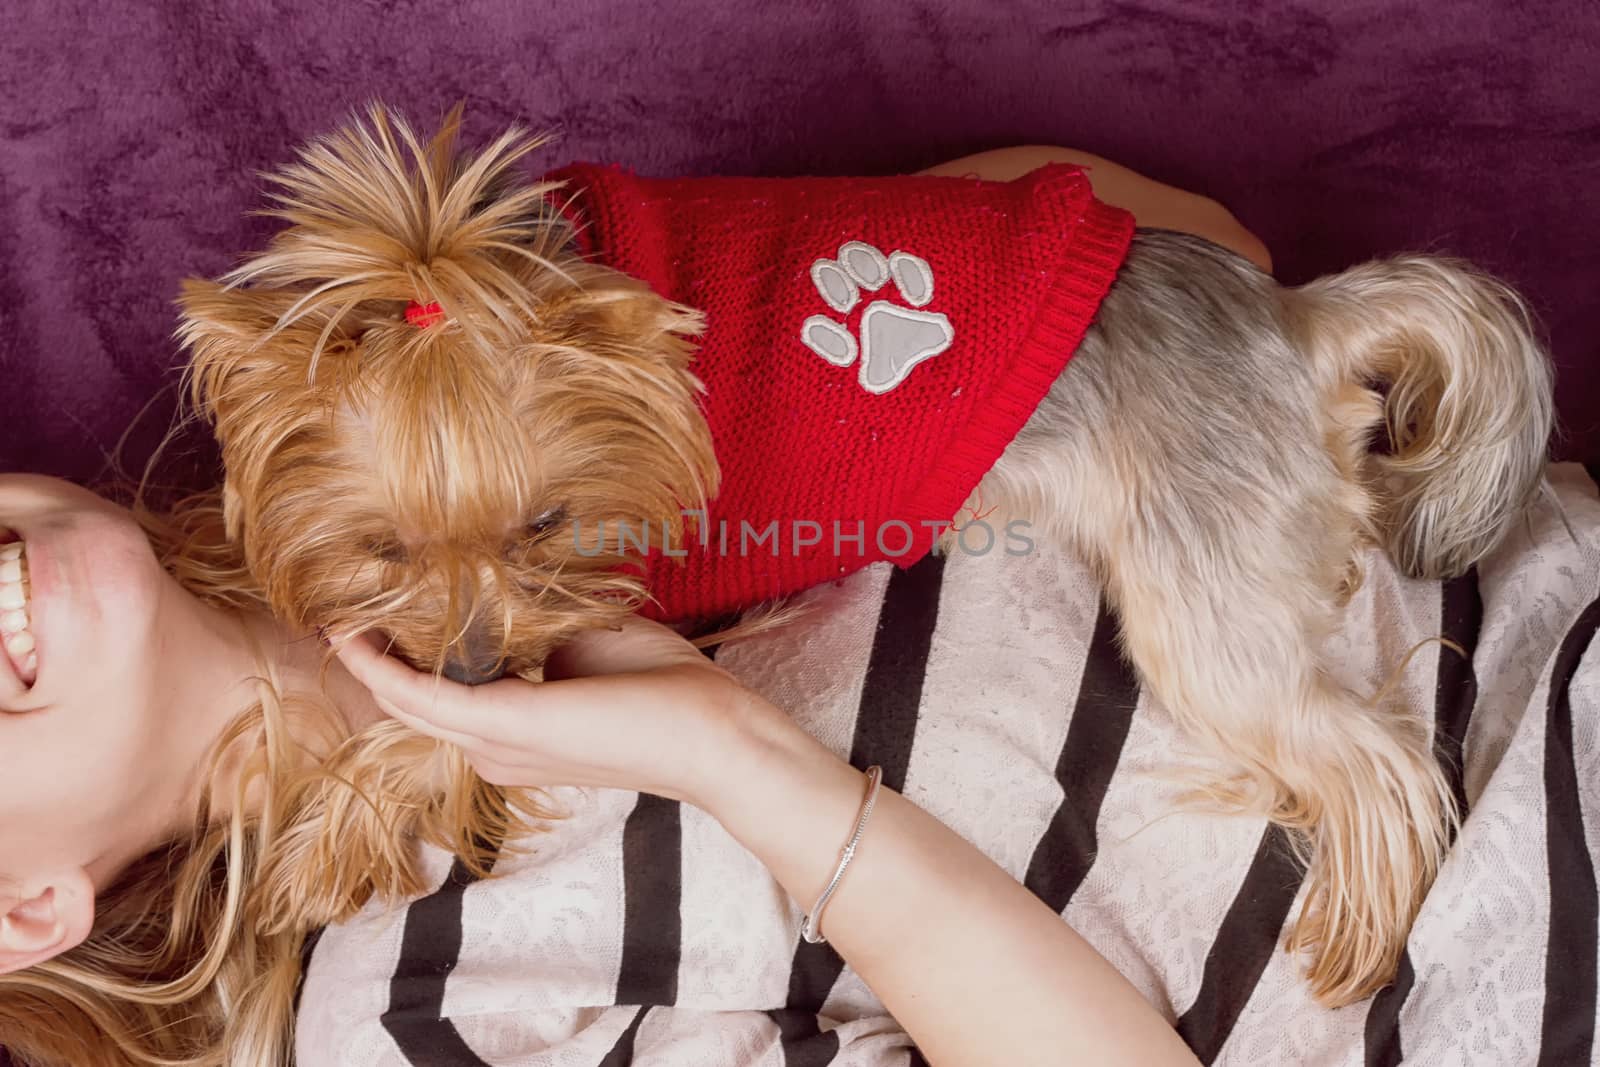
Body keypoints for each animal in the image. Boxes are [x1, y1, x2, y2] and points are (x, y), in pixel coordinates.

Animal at [178, 110, 1548, 1011]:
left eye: (547, 524)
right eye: (382, 545)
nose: (469, 667)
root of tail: (1296, 317)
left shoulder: (616, 592)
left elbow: (438, 724)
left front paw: (332, 825)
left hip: (1202, 599)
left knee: (1366, 758)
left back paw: (1355, 932)